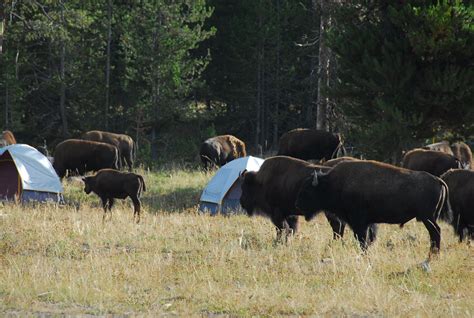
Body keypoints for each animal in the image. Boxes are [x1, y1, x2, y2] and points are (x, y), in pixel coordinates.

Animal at [239, 155, 376, 242]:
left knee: (338, 228)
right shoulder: (290, 214)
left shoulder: (277, 214)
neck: (261, 181)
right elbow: (290, 229)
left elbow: (282, 229)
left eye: (245, 187)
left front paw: (279, 242)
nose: (241, 202)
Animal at [298, 160, 450, 260]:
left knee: (435, 232)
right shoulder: (367, 223)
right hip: (428, 217)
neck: (333, 183)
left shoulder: (359, 223)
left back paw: (433, 255)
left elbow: (362, 240)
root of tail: (438, 180)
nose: (297, 205)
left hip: (427, 218)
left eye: (307, 190)